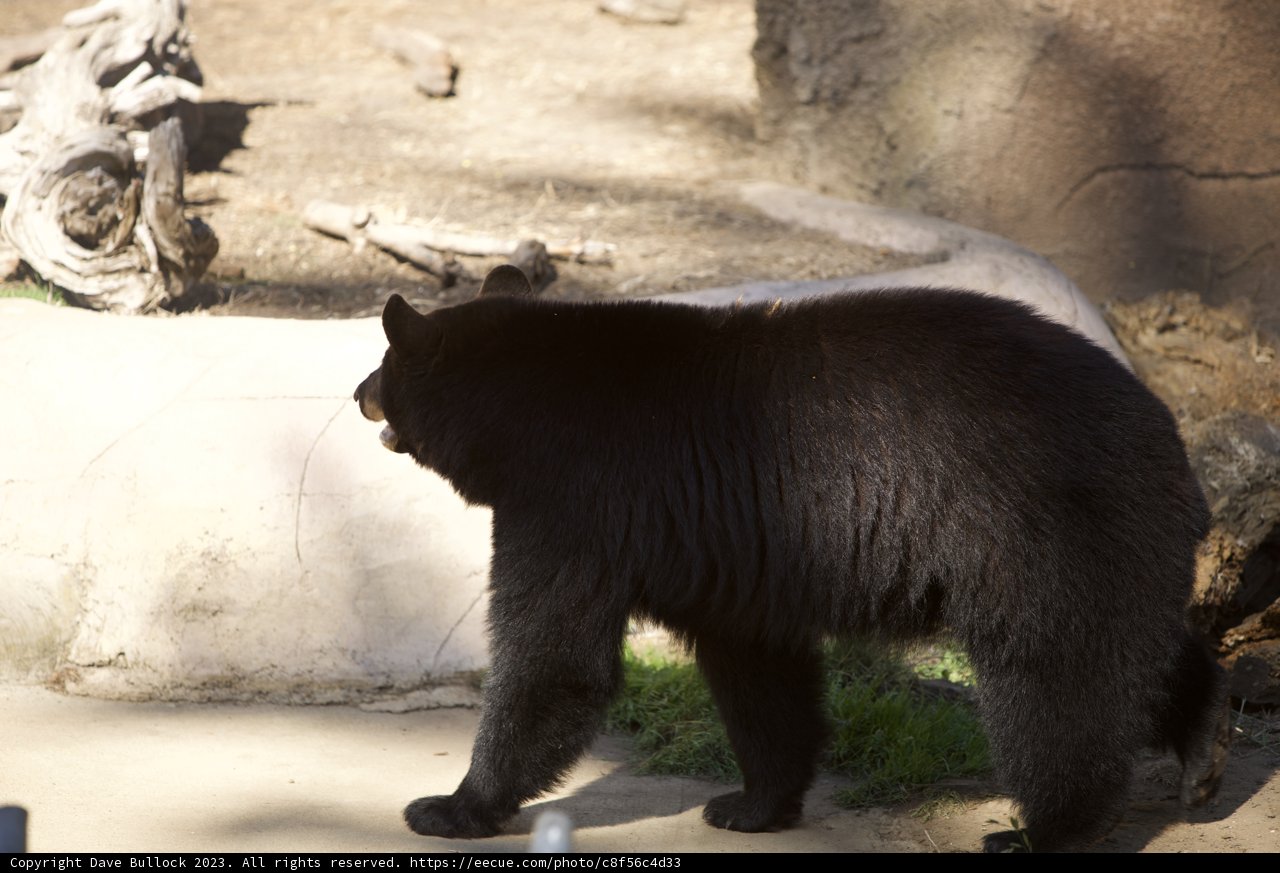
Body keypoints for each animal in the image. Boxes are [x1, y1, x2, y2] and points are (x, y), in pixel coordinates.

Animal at [354, 265, 1230, 852]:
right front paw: (751, 804)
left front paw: (450, 806)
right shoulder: (731, 541)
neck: (524, 405)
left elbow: (554, 657)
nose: (361, 392)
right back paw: (1203, 751)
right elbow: (756, 667)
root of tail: (1173, 443)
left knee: (1060, 675)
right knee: (1139, 649)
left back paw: (1044, 829)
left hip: (1045, 525)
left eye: (386, 363)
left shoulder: (578, 498)